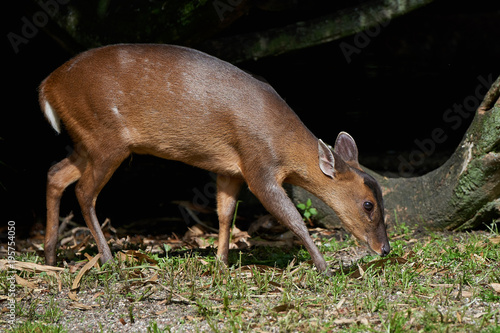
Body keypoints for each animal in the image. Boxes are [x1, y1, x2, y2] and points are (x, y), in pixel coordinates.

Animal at [40, 43, 390, 272]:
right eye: (368, 205)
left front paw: (221, 264)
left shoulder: (230, 169)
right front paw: (324, 267)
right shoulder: (258, 165)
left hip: (87, 140)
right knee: (84, 191)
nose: (384, 248)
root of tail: (47, 86)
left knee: (55, 172)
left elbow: (225, 213)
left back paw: (50, 256)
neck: (281, 141)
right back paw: (108, 259)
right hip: (106, 137)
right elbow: (293, 218)